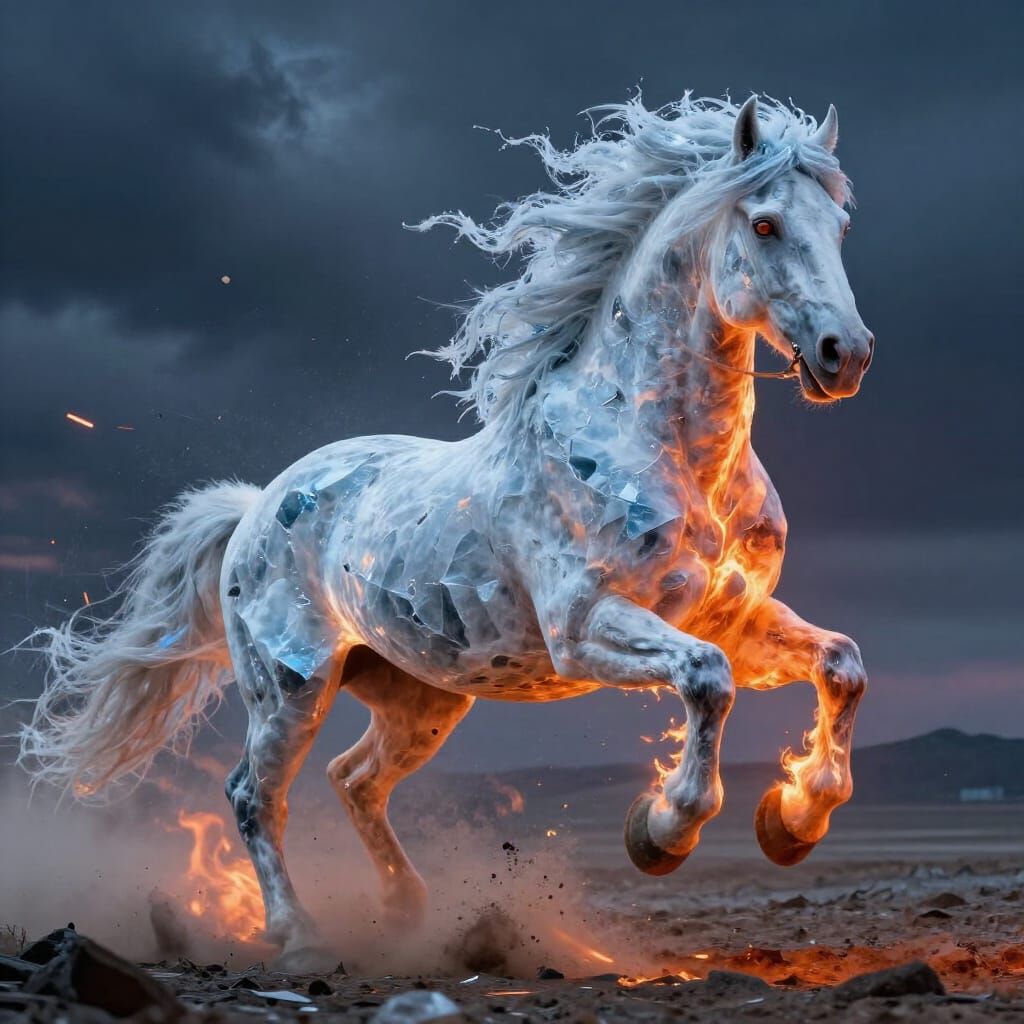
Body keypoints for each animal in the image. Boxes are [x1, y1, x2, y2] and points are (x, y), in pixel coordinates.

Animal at [20, 93, 874, 972]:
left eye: (841, 224)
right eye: (765, 224)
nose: (845, 355)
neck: (668, 455)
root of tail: (256, 506)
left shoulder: (734, 618)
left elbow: (842, 665)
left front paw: (794, 819)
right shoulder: (585, 628)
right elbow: (708, 680)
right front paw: (661, 830)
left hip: (420, 697)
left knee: (354, 779)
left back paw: (406, 914)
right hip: (290, 686)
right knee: (255, 795)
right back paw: (300, 937)